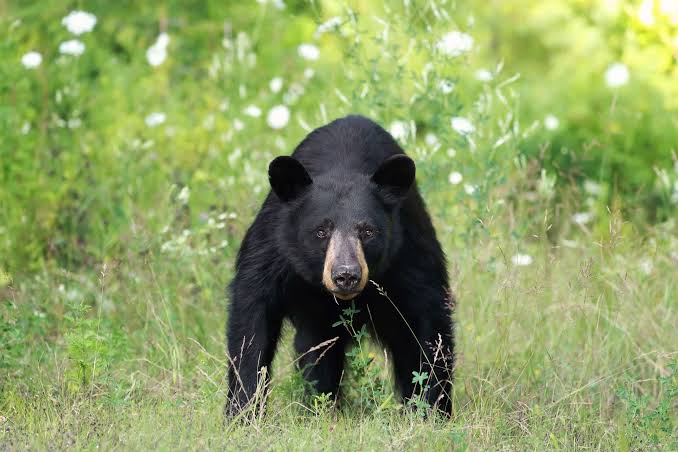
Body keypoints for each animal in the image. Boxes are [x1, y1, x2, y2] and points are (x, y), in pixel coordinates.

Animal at [225, 115, 454, 416]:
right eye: (321, 231)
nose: (346, 275)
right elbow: (252, 324)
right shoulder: (273, 250)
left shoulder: (408, 252)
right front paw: (242, 412)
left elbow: (429, 326)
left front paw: (431, 411)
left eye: (368, 231)